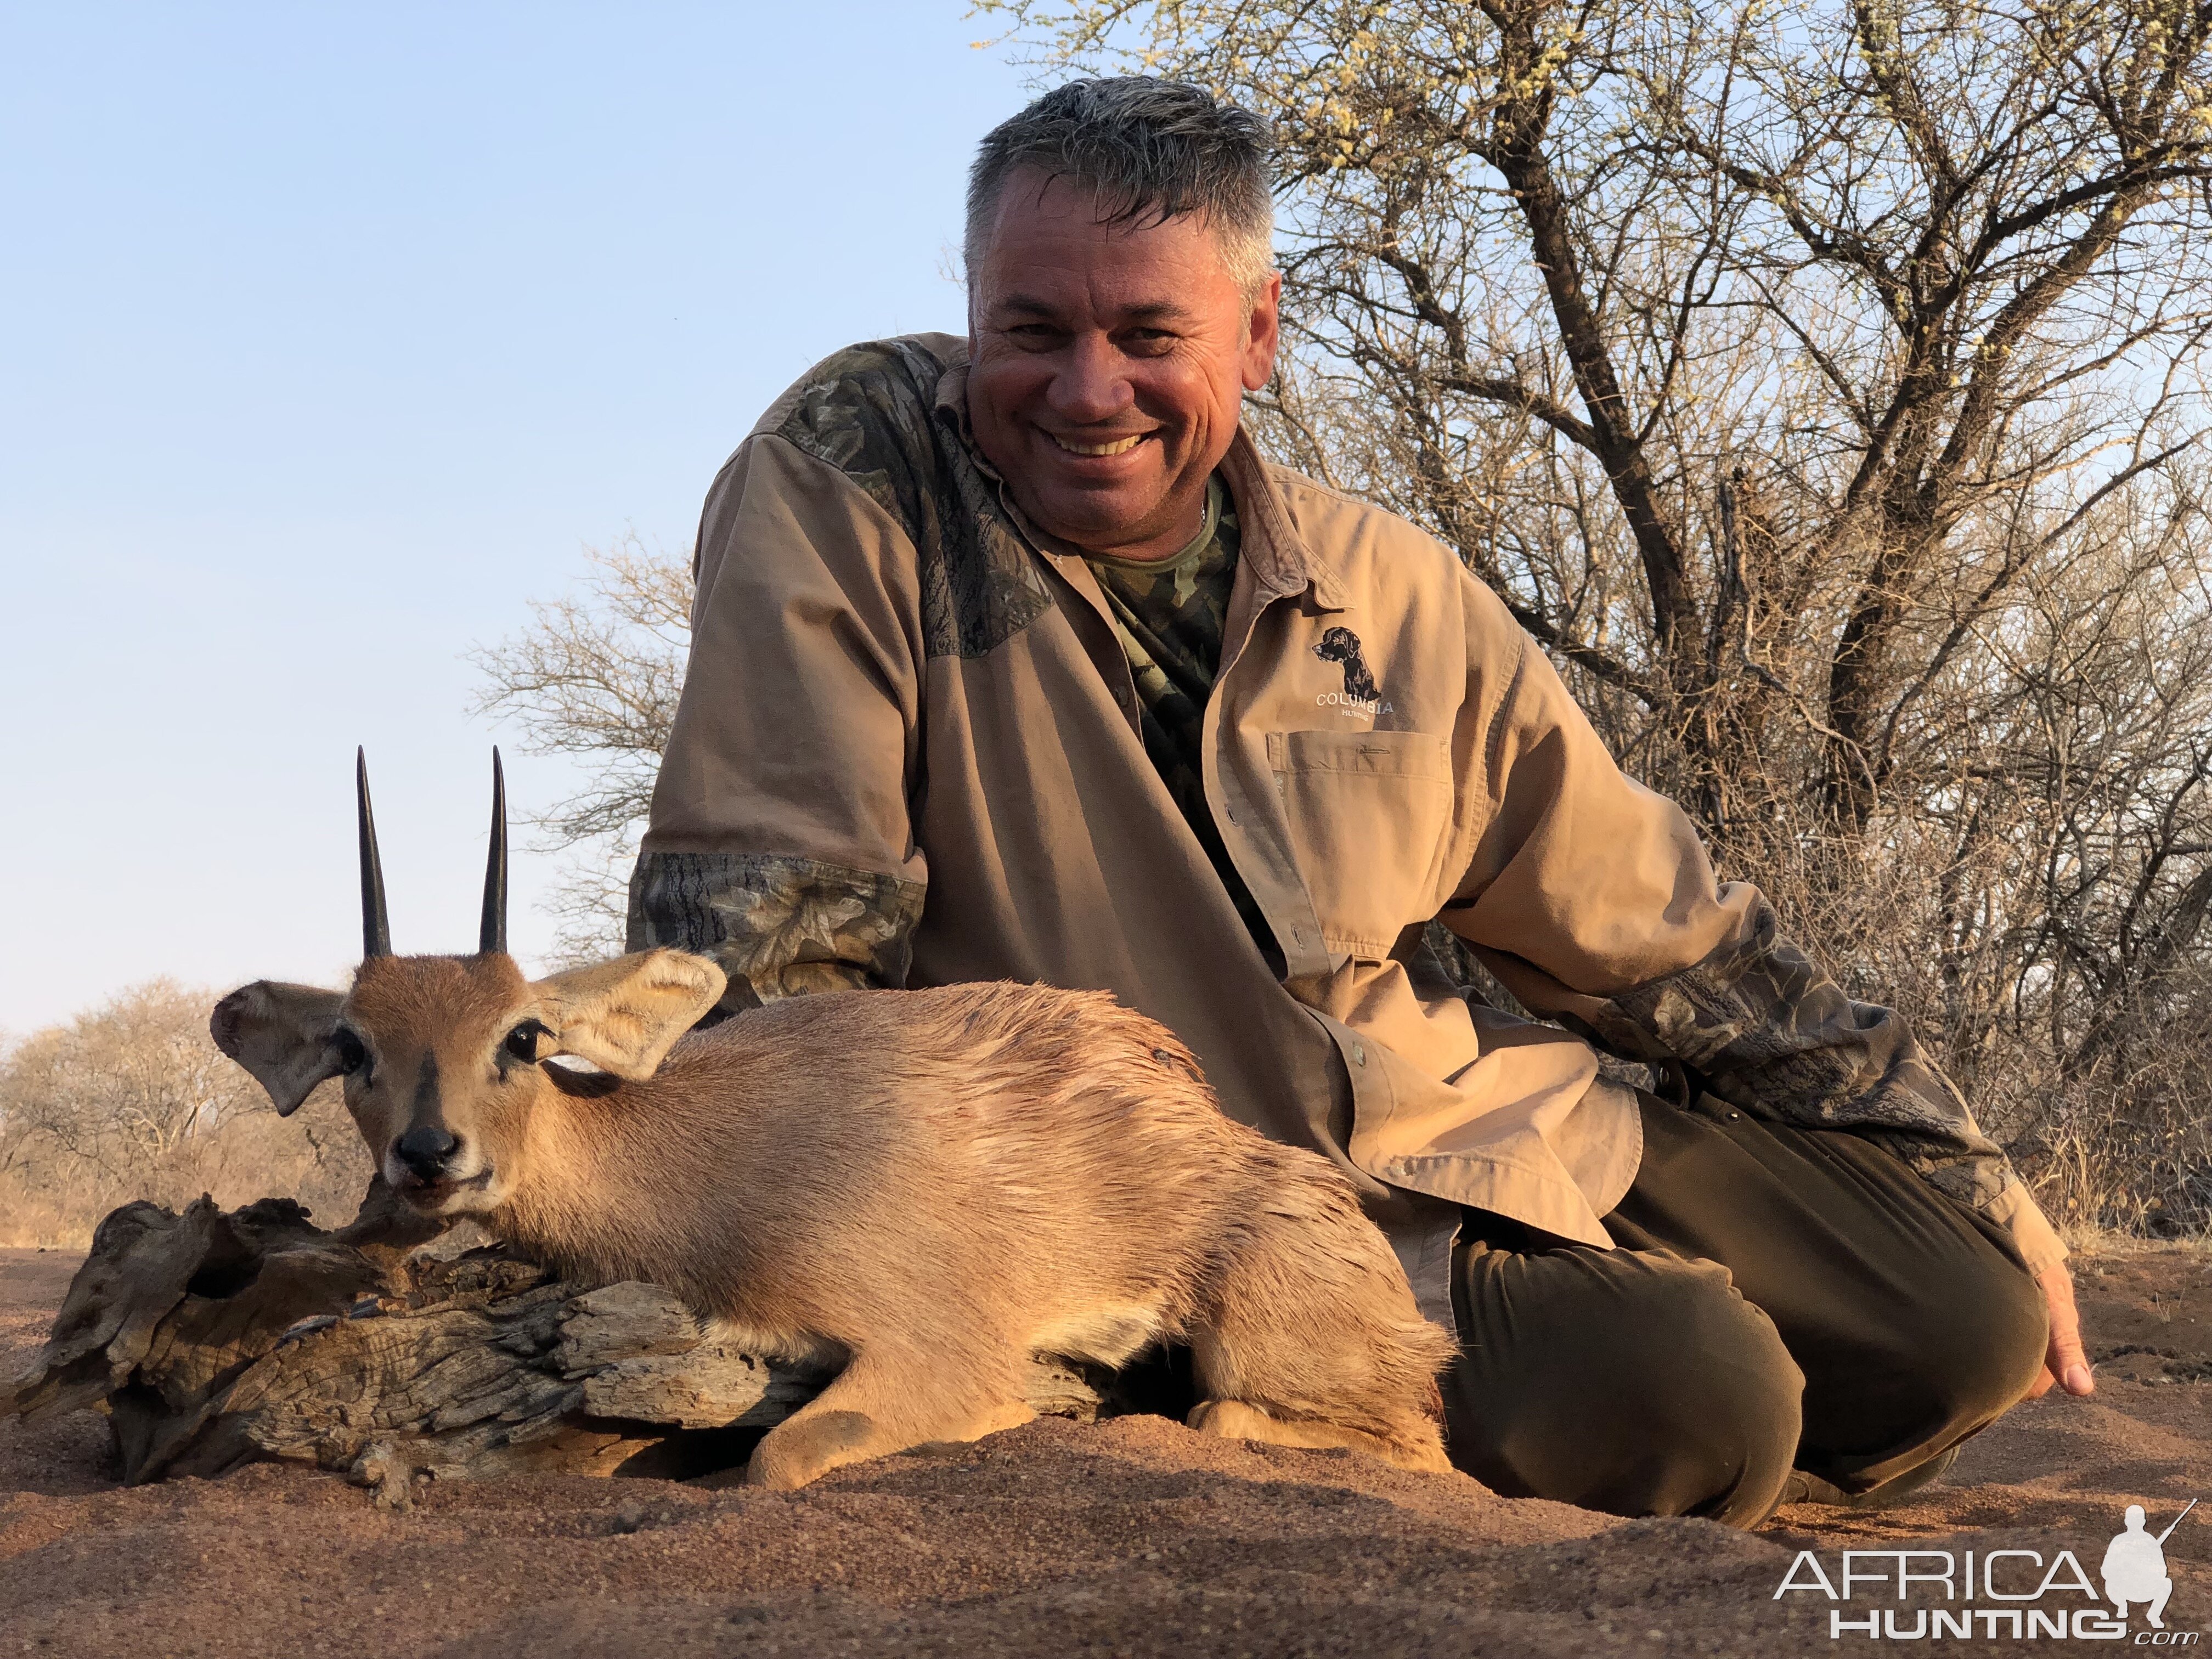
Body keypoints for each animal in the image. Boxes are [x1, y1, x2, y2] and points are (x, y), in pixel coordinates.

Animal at [216, 752, 1460, 1495]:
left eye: (523, 1034)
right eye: (352, 1047)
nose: (431, 1156)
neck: (702, 1162)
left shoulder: (934, 1350)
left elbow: (782, 1454)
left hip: (1258, 1345)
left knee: (1301, 1428)